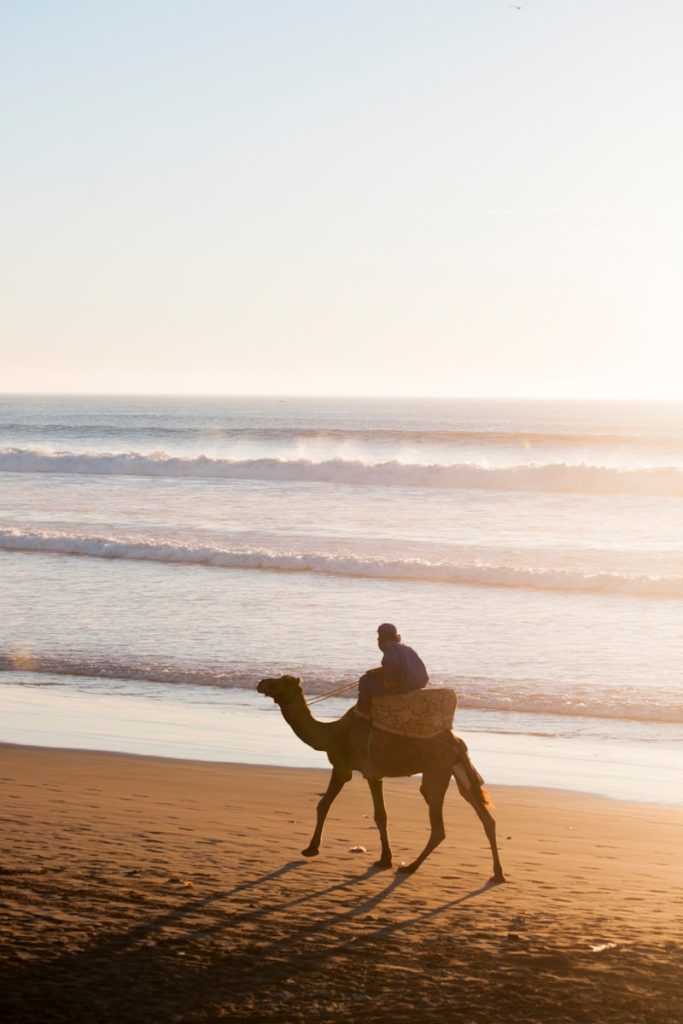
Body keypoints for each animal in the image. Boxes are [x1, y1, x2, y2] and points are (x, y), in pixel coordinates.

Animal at [257, 675, 505, 882]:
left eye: (281, 681)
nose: (261, 683)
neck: (331, 734)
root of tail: (456, 742)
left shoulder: (343, 767)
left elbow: (324, 804)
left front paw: (310, 849)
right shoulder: (374, 774)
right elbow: (381, 815)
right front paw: (385, 859)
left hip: (437, 772)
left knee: (439, 826)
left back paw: (411, 866)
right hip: (457, 771)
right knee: (485, 818)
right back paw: (498, 874)